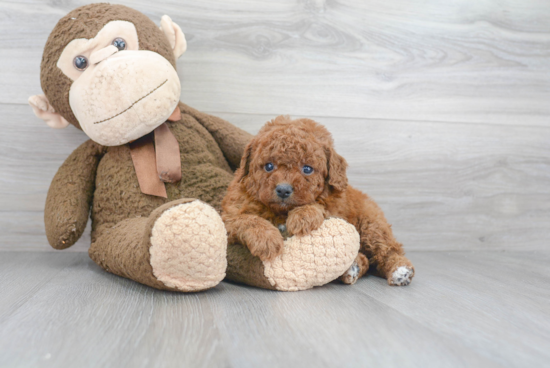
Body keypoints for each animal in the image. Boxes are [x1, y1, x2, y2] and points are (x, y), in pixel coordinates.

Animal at [222, 116, 416, 286]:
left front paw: (302, 217)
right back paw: (352, 268)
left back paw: (400, 270)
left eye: (307, 169)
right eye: (269, 166)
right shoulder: (230, 217)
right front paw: (267, 239)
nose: (283, 189)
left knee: (387, 249)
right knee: (365, 258)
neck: (281, 212)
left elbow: (319, 205)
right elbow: (247, 220)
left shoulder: (336, 207)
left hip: (372, 226)